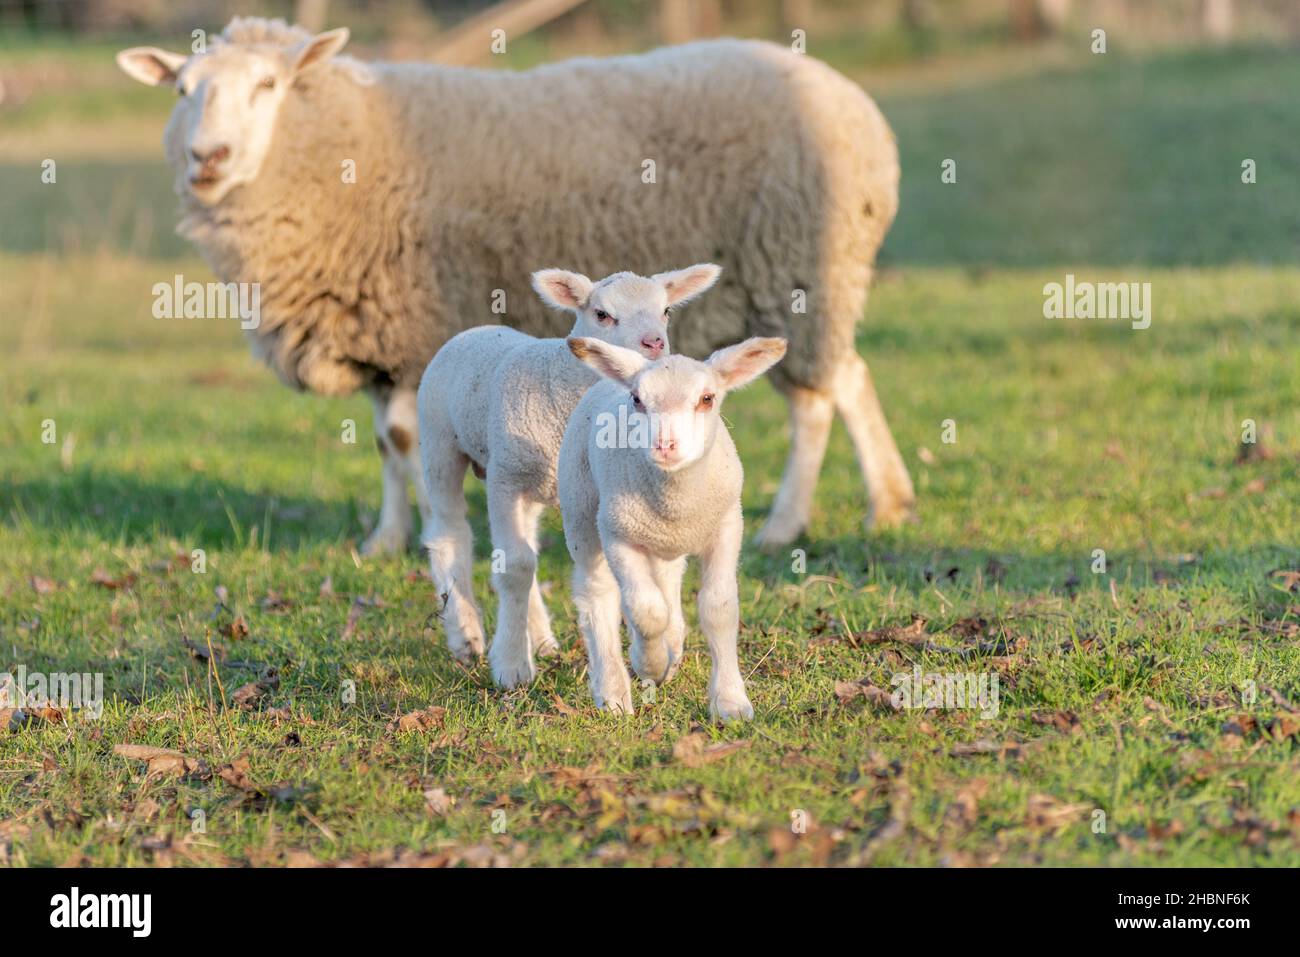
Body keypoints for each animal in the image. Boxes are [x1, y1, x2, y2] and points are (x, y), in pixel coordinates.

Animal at [116, 16, 913, 556]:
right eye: (182, 90)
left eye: (268, 85)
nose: (208, 157)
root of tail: (861, 111)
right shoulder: (381, 333)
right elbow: (384, 444)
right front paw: (385, 537)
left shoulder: (419, 322)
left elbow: (404, 437)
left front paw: (419, 530)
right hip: (798, 284)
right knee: (849, 374)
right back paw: (890, 503)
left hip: (797, 270)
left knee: (814, 401)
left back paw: (785, 523)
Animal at [417, 263, 720, 686]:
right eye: (602, 314)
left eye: (666, 311)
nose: (654, 343)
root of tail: (475, 330)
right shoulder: (505, 479)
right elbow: (514, 566)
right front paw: (511, 666)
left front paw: (665, 651)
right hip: (440, 444)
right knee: (450, 534)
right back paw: (466, 636)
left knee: (526, 543)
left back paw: (541, 638)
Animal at [558, 334, 789, 720]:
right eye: (637, 399)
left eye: (707, 399)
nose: (665, 445)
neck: (675, 501)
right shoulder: (617, 534)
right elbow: (645, 611)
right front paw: (649, 664)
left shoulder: (727, 526)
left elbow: (719, 608)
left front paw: (730, 702)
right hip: (582, 510)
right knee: (598, 596)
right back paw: (614, 691)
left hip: (659, 540)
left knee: (667, 582)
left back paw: (673, 648)